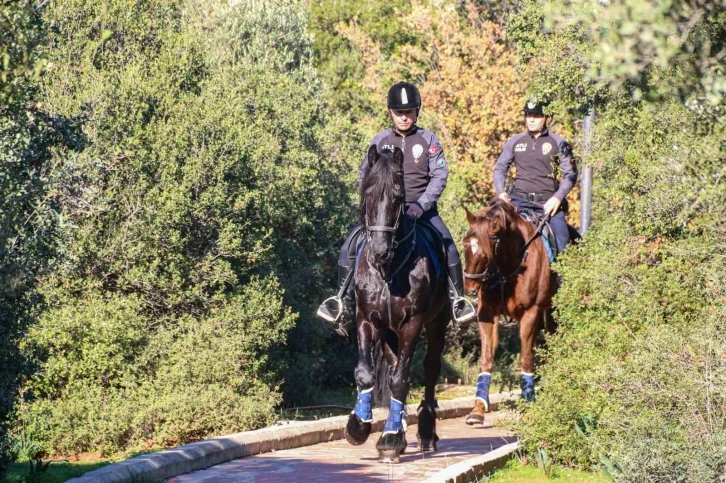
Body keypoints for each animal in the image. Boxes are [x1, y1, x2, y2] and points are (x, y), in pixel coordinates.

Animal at [344, 146, 452, 464]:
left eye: (398, 197)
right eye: (367, 192)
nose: (379, 252)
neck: (389, 272)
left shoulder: (412, 322)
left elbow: (401, 380)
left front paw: (390, 440)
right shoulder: (367, 318)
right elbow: (365, 372)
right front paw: (358, 426)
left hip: (436, 323)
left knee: (429, 369)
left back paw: (424, 432)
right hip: (389, 332)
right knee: (393, 364)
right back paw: (400, 427)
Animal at [460, 199, 556, 424]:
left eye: (488, 249)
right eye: (466, 244)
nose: (469, 288)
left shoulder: (531, 313)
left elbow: (526, 359)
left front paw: (529, 403)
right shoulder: (487, 314)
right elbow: (486, 359)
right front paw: (477, 409)